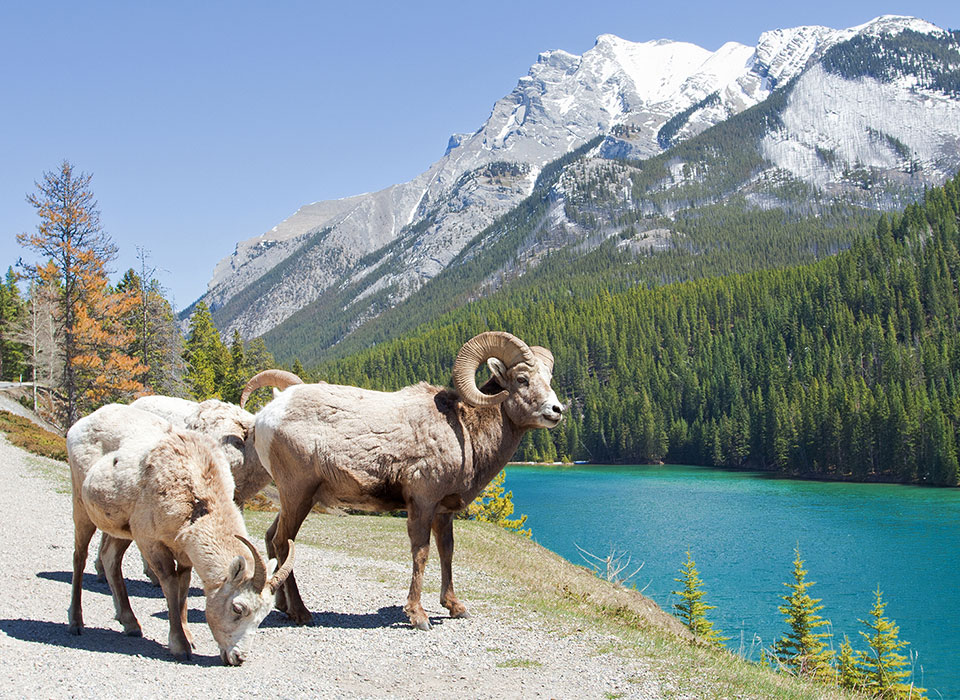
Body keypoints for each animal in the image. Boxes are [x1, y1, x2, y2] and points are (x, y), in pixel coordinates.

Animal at [69, 404, 292, 660]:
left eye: (262, 617)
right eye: (238, 608)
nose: (238, 658)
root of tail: (82, 424)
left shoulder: (184, 551)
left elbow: (183, 588)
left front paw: (189, 637)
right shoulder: (152, 543)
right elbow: (170, 585)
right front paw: (180, 645)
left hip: (121, 530)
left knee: (110, 559)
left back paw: (131, 624)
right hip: (81, 507)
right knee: (80, 557)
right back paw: (76, 623)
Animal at [240, 330, 568, 632]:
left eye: (548, 378)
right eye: (522, 379)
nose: (557, 411)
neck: (463, 431)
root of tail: (266, 416)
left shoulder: (443, 511)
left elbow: (447, 552)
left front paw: (455, 607)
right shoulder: (421, 502)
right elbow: (421, 553)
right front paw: (418, 616)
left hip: (295, 499)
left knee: (272, 538)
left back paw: (283, 606)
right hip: (298, 494)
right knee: (283, 543)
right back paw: (301, 612)